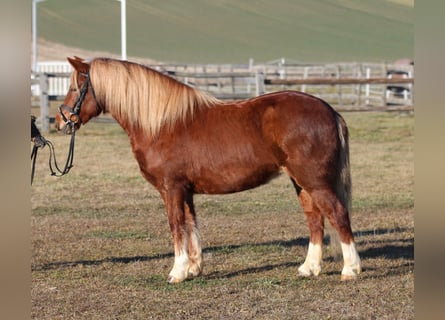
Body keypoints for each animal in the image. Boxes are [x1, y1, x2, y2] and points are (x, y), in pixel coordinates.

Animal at [56, 57, 360, 282]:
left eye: (74, 88)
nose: (61, 122)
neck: (161, 123)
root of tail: (329, 110)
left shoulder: (171, 188)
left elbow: (176, 226)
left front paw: (177, 272)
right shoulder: (185, 191)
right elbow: (192, 226)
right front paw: (193, 268)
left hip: (315, 181)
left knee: (337, 214)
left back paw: (350, 269)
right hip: (301, 182)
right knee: (315, 219)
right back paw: (309, 268)